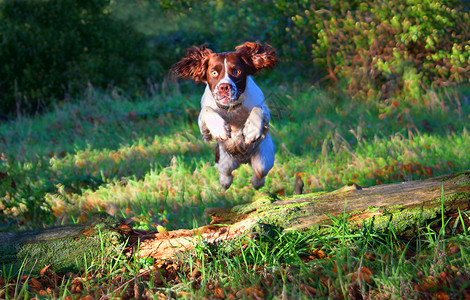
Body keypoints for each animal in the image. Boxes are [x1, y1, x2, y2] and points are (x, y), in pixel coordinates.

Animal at [173, 41, 278, 190]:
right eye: (214, 72)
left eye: (236, 71)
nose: (224, 87)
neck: (231, 108)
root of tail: (243, 160)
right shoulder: (203, 123)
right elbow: (207, 110)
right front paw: (220, 129)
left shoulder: (264, 110)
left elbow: (259, 109)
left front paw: (251, 131)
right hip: (223, 159)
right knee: (226, 173)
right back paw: (224, 183)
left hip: (264, 156)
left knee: (259, 173)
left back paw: (256, 183)